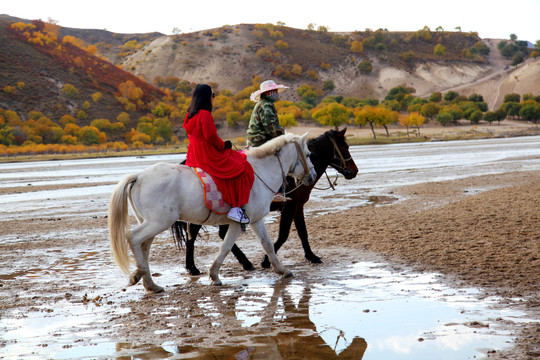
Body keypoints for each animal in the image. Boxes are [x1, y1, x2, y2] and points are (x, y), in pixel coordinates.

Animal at [108, 132, 316, 292]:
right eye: (307, 154)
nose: (313, 176)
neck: (260, 172)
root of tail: (138, 176)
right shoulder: (239, 222)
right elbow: (226, 246)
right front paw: (215, 275)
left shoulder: (256, 220)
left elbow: (267, 245)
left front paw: (282, 270)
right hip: (158, 222)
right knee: (133, 238)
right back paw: (139, 274)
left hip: (151, 222)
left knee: (144, 245)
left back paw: (150, 284)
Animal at [173, 128, 358, 274]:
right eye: (345, 147)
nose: (354, 171)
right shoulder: (289, 207)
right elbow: (283, 235)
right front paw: (267, 261)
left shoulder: (298, 207)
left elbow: (302, 232)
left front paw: (311, 256)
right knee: (193, 236)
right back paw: (193, 267)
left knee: (219, 234)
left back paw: (244, 262)